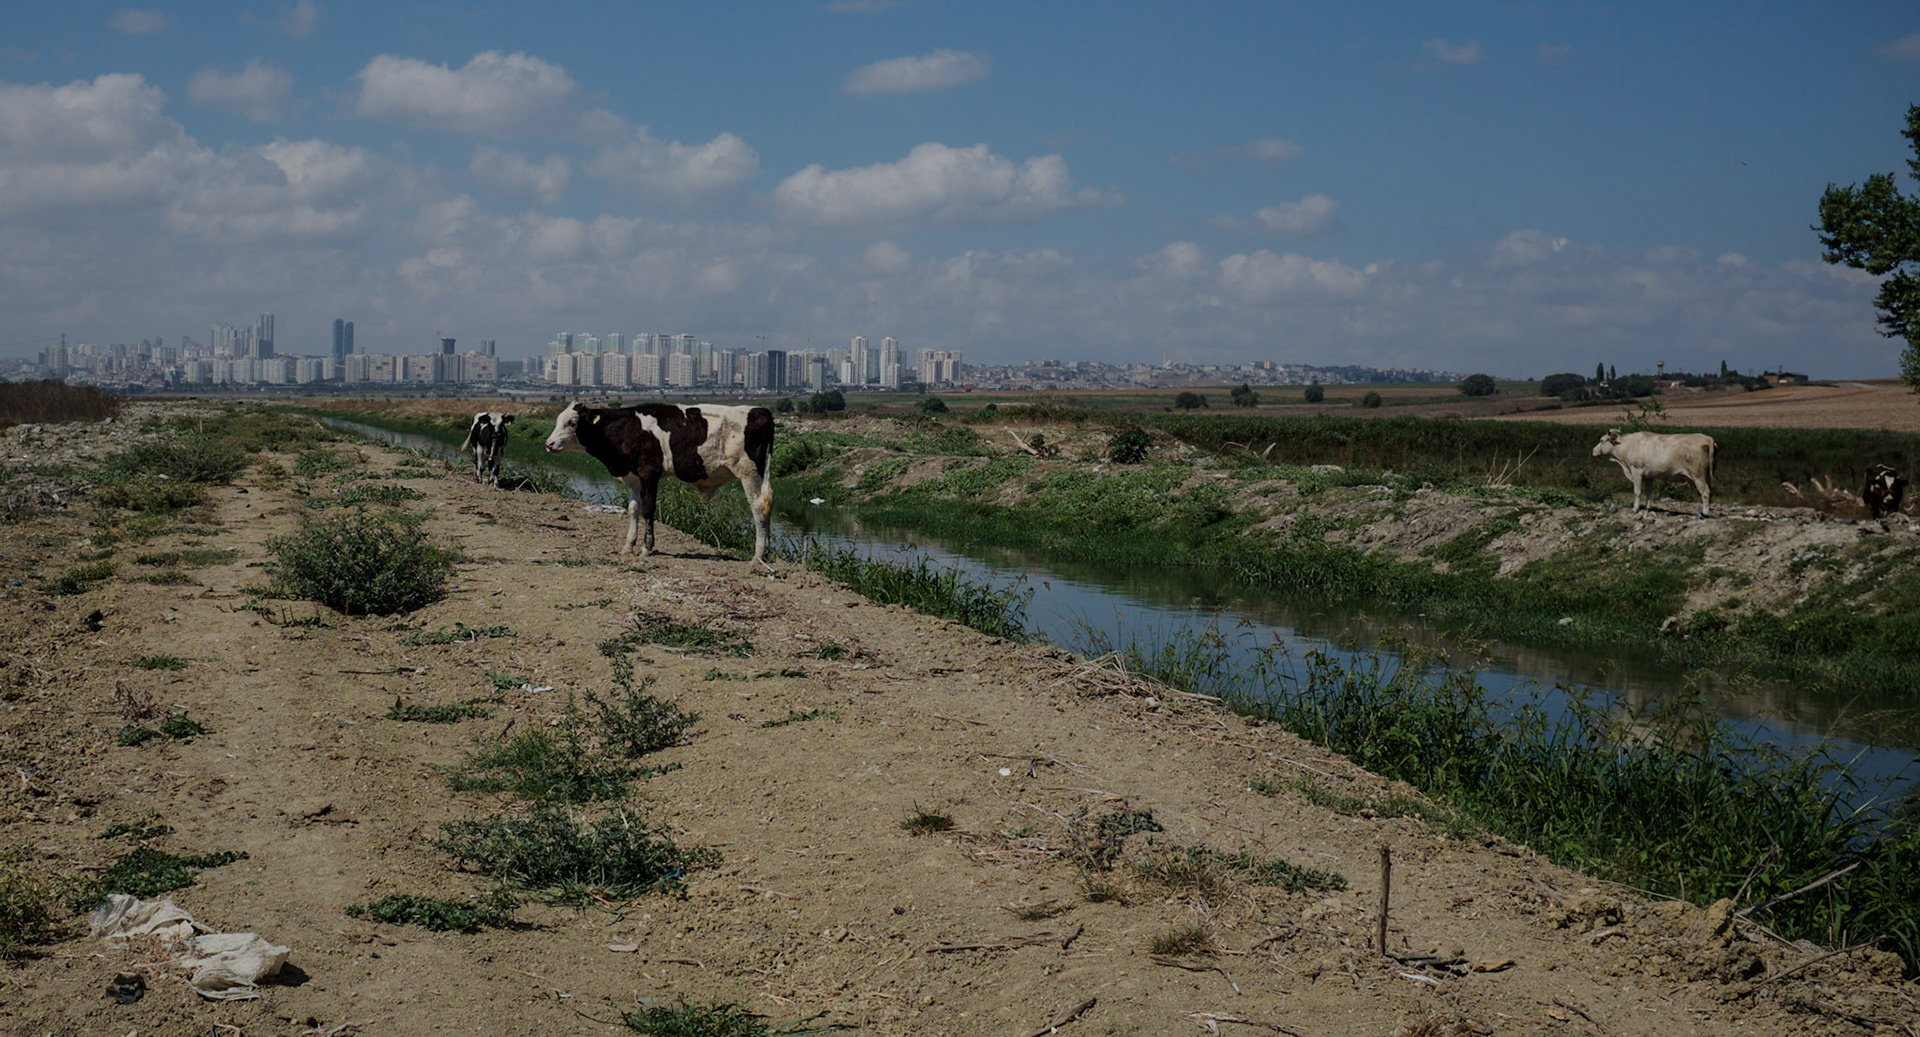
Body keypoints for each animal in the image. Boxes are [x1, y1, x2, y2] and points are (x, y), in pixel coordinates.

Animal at [544, 401, 775, 564]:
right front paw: (628, 545)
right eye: (557, 420)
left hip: (749, 471)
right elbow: (633, 509)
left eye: (572, 423)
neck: (628, 428)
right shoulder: (634, 478)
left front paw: (646, 549)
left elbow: (648, 509)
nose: (549, 443)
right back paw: (766, 553)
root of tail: (760, 410)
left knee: (759, 505)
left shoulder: (649, 473)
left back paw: (758, 556)